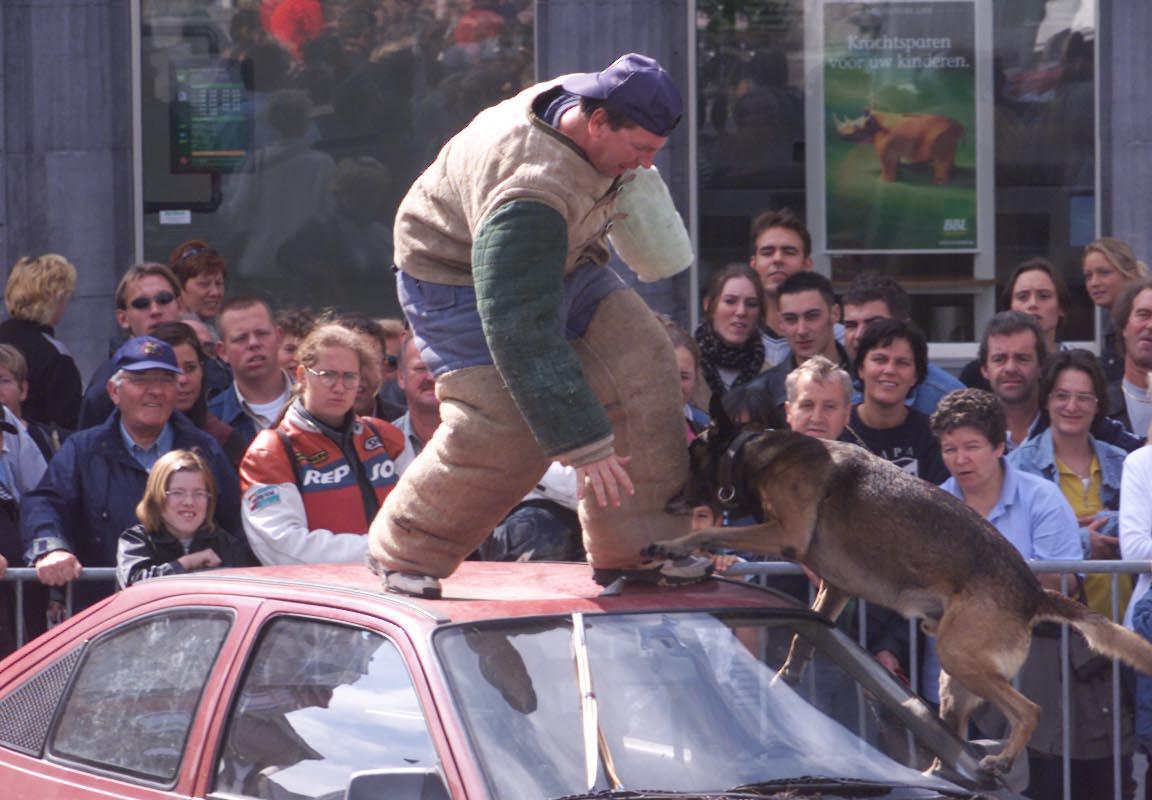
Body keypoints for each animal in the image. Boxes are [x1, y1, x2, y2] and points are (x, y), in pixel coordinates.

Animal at [654, 410, 1152, 774]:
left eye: (691, 450)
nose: (667, 499)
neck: (753, 451)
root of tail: (1033, 592)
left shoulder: (784, 535)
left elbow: (709, 534)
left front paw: (672, 545)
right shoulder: (834, 588)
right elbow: (800, 641)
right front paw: (781, 685)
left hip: (958, 655)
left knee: (1028, 711)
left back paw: (1002, 758)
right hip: (953, 680)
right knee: (954, 739)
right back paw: (938, 775)